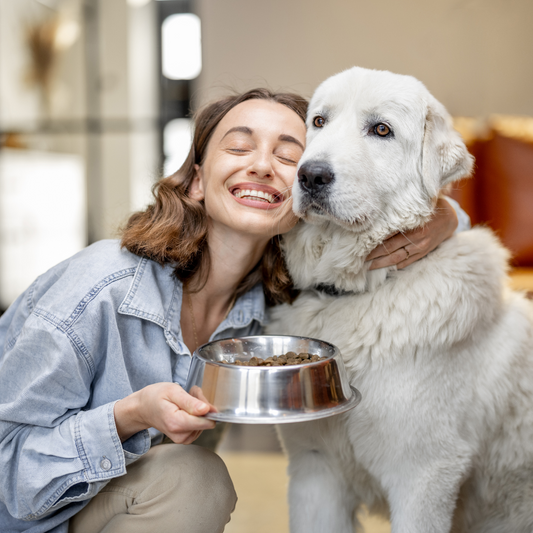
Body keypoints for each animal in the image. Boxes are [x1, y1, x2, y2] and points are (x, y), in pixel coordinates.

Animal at [268, 65, 532, 532]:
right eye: (319, 121)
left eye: (381, 130)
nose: (311, 175)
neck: (359, 291)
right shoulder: (315, 471)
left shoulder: (424, 477)